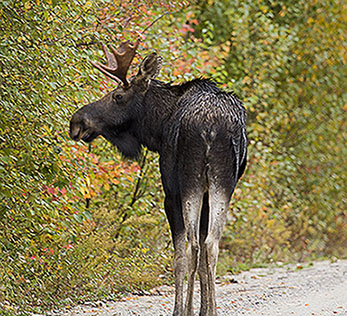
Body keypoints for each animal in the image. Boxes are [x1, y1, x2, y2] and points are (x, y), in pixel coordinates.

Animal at [68, 40, 247, 316]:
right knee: (211, 244)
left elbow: (179, 256)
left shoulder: (171, 192)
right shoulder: (208, 192)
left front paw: (182, 309)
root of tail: (211, 128)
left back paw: (185, 310)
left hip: (189, 181)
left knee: (193, 246)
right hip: (222, 184)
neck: (158, 128)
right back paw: (211, 310)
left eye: (118, 96)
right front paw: (205, 308)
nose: (76, 122)